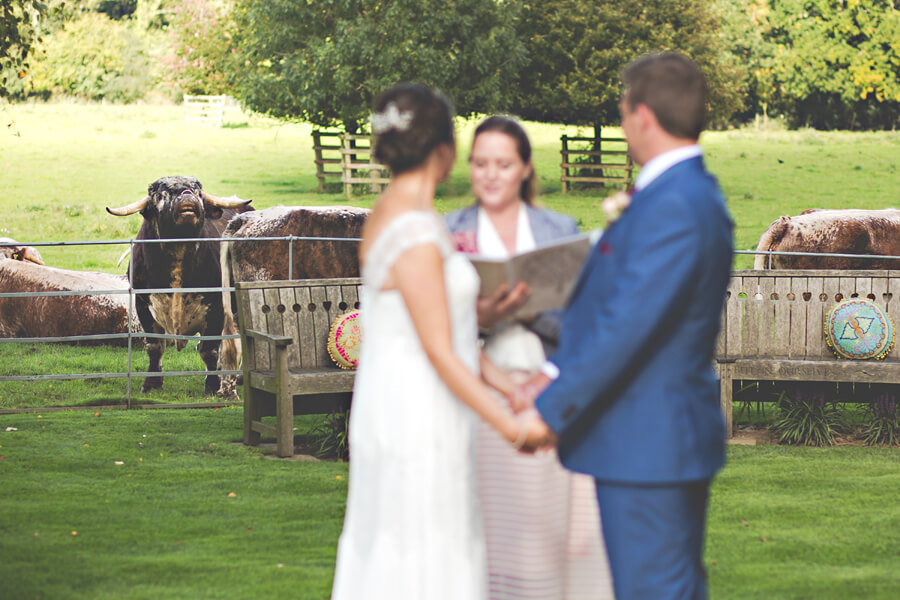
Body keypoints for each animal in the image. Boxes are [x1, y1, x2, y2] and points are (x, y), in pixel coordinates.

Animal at [108, 176, 253, 396]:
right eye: (160, 192)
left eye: (198, 190)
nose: (186, 194)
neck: (178, 249)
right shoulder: (143, 306)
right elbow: (155, 347)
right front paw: (151, 383)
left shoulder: (216, 308)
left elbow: (209, 349)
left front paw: (212, 385)